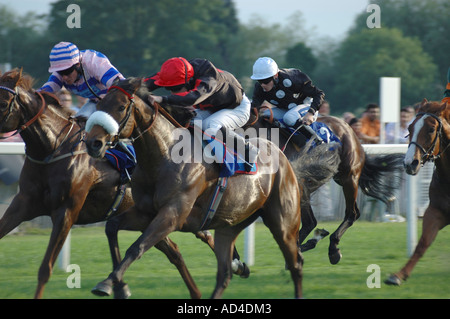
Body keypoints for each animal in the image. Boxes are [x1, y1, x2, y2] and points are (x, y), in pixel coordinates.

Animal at [0, 68, 204, 300]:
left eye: (3, 103)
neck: (53, 150)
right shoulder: (22, 204)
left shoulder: (66, 211)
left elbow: (45, 268)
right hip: (149, 218)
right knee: (175, 251)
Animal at [83, 78, 338, 300]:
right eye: (100, 105)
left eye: (121, 106)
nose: (93, 143)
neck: (164, 156)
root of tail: (285, 157)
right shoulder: (146, 212)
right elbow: (112, 227)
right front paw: (118, 286)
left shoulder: (172, 214)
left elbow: (138, 247)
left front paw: (108, 283)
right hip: (229, 226)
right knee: (224, 273)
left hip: (283, 222)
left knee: (295, 263)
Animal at [384, 99, 450, 286]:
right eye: (410, 127)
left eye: (431, 129)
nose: (409, 163)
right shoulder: (436, 210)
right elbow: (423, 242)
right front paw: (399, 275)